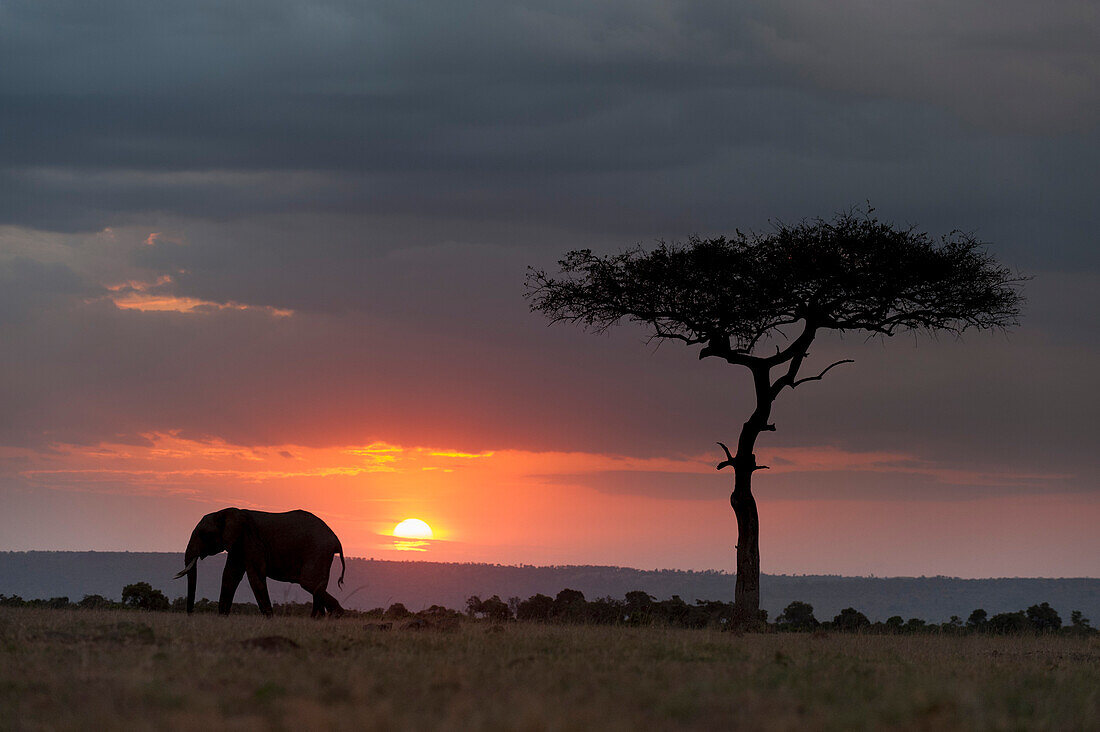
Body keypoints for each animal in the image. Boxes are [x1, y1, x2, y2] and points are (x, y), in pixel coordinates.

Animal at [172, 508, 343, 616]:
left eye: (202, 534)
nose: (190, 615)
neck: (224, 512)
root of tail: (336, 540)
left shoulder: (250, 541)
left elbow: (255, 577)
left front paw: (269, 619)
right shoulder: (238, 546)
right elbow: (230, 576)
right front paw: (222, 617)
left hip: (317, 551)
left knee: (309, 583)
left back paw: (335, 616)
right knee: (317, 585)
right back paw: (320, 618)